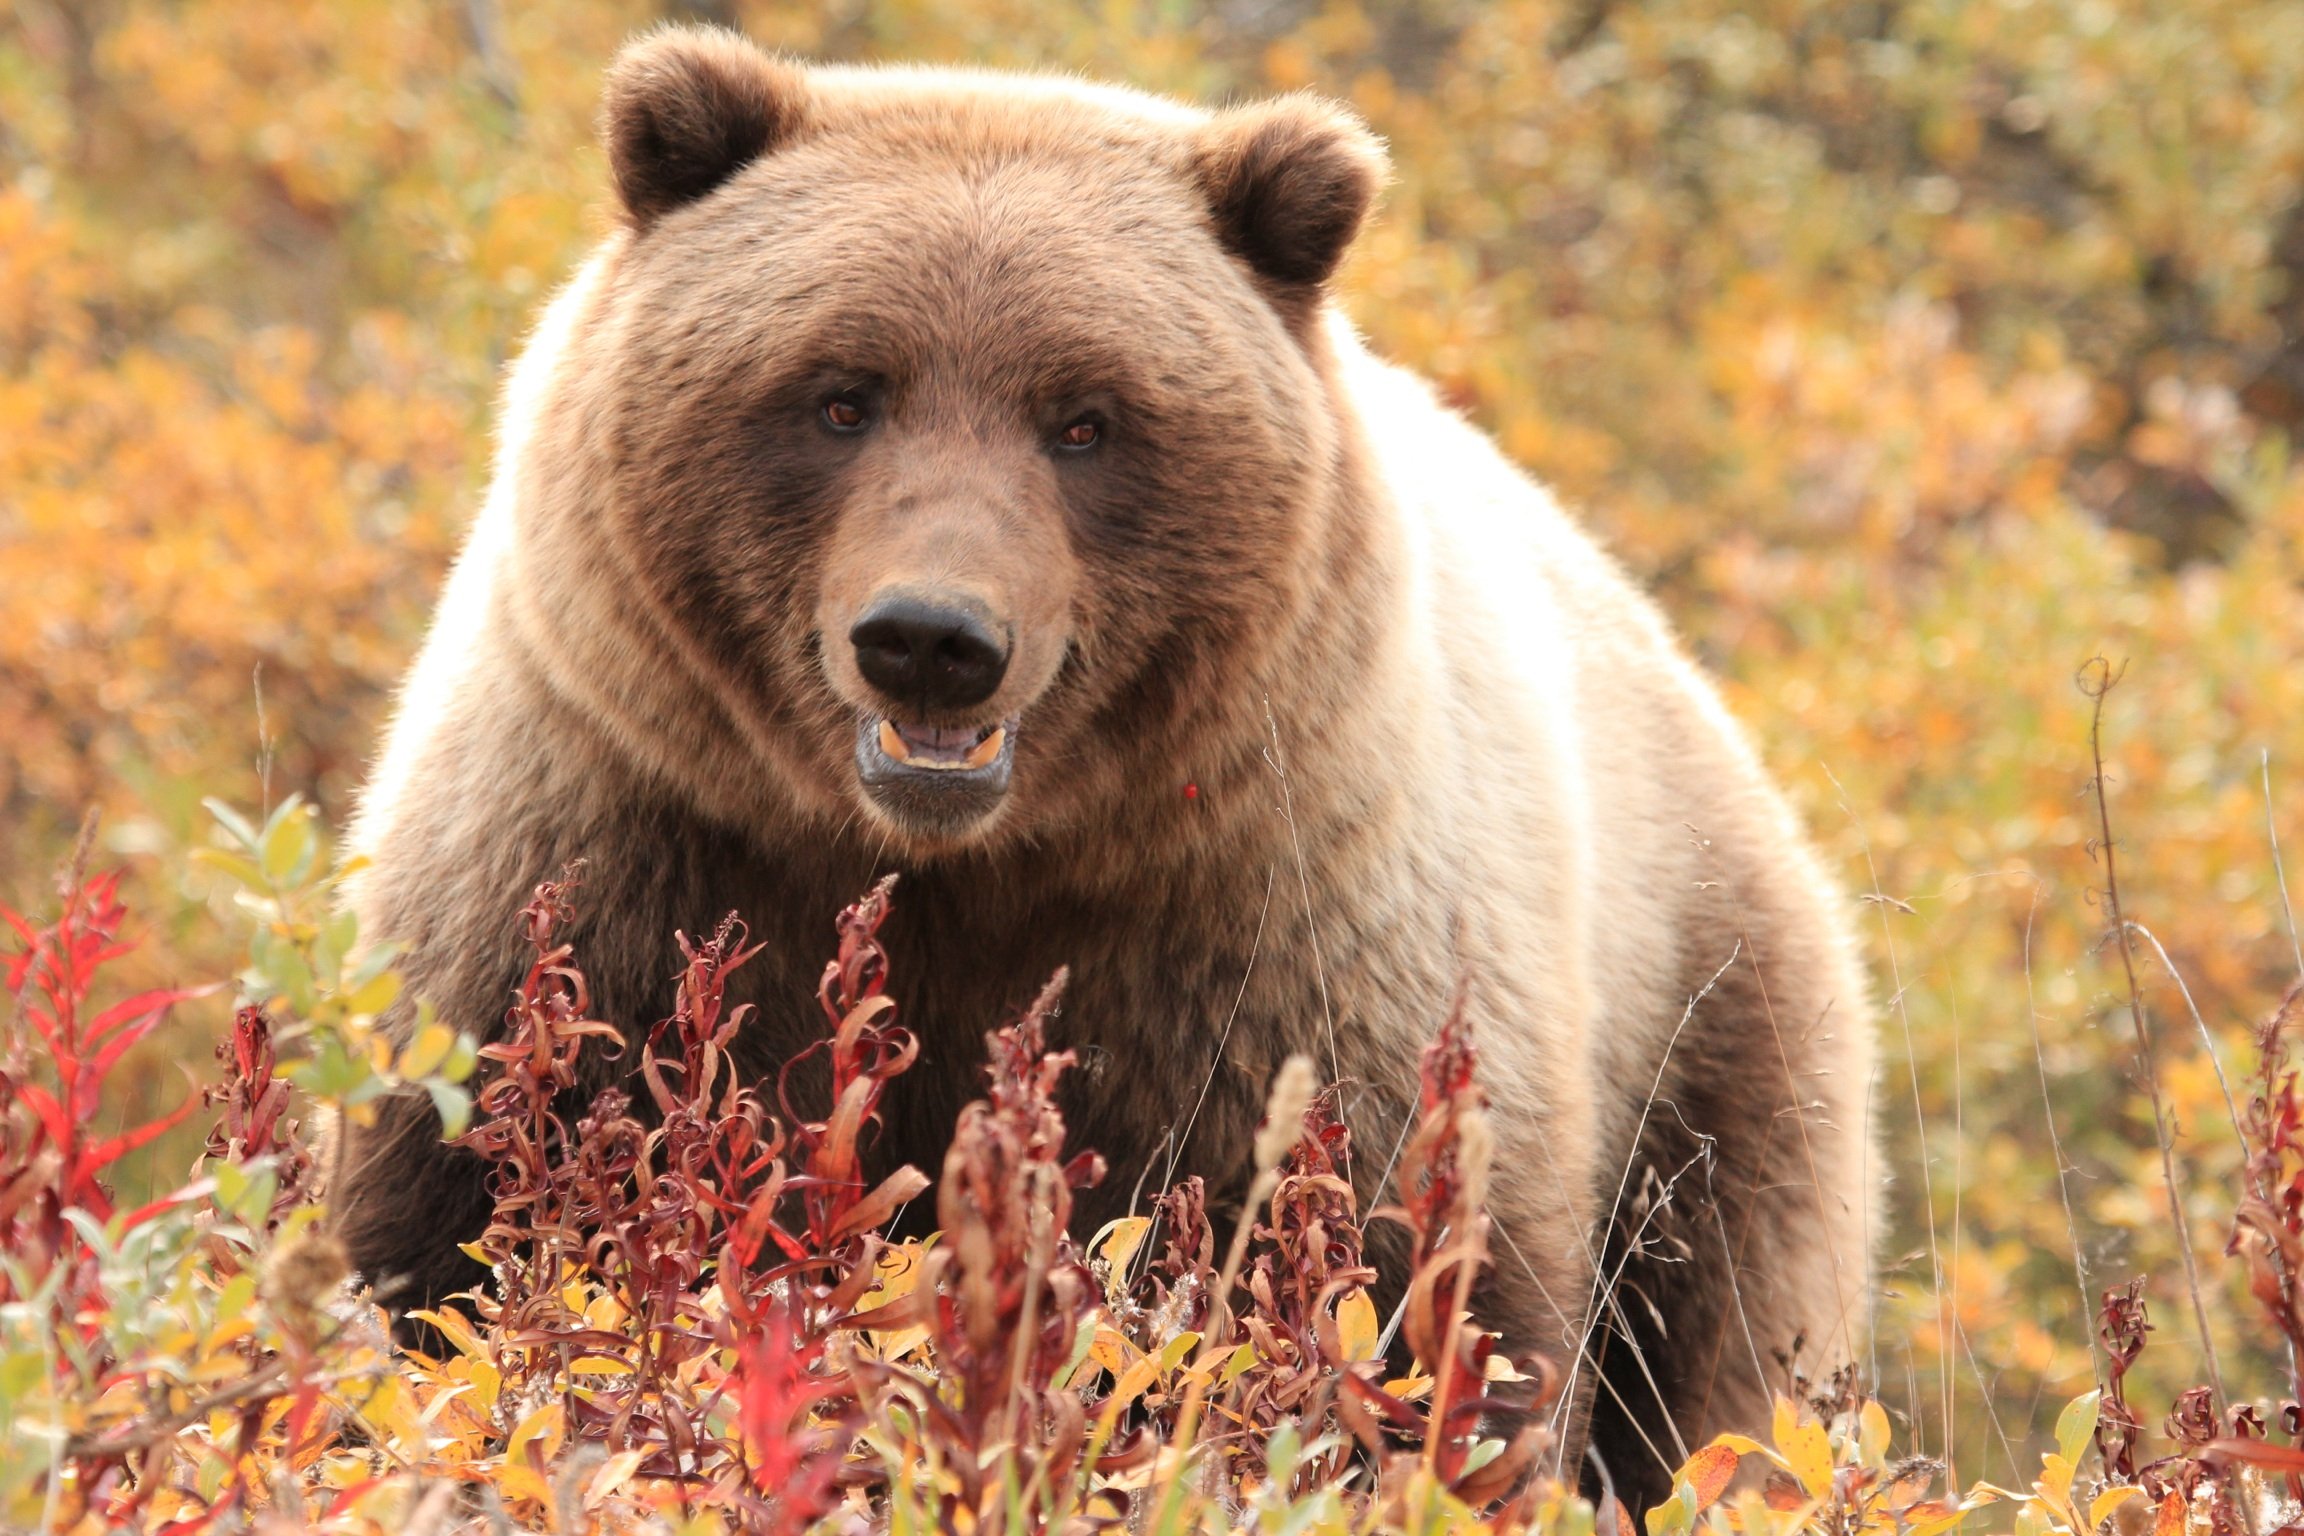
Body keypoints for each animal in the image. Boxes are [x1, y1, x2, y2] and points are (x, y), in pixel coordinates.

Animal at [336, 27, 1870, 1510]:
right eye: (841, 394)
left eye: (1086, 418)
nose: (932, 639)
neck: (961, 864)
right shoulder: (615, 849)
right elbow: (458, 1225)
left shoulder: (1284, 948)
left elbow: (1409, 1312)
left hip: (1716, 1048)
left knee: (1712, 1358)